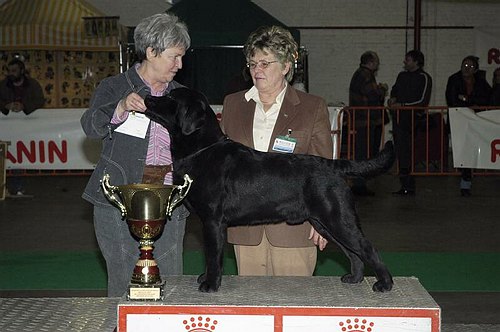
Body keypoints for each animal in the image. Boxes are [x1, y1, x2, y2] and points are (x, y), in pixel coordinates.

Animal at [144, 87, 394, 292]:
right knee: (354, 253)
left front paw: (210, 284)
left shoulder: (212, 220)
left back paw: (385, 284)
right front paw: (206, 278)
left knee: (367, 248)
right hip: (325, 223)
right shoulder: (211, 222)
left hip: (338, 219)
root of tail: (333, 164)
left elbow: (213, 255)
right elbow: (211, 255)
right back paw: (354, 278)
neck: (202, 149)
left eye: (170, 97)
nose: (147, 96)